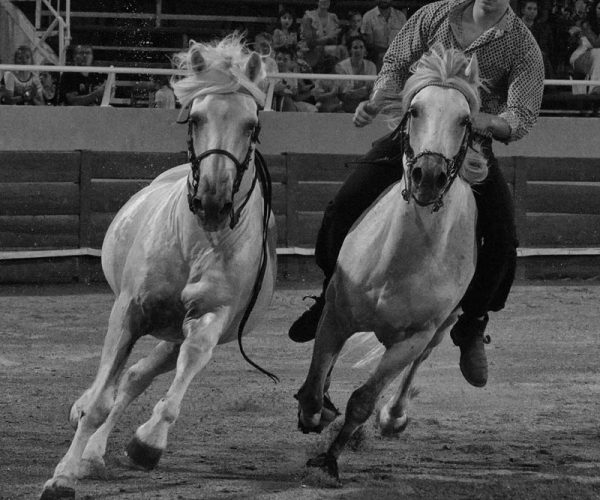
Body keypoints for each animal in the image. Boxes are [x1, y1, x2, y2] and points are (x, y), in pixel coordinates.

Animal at [41, 34, 276, 496]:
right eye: (195, 118)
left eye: (251, 126)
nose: (213, 202)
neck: (196, 241)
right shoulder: (129, 311)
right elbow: (101, 398)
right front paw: (62, 475)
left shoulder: (207, 320)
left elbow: (166, 388)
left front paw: (145, 444)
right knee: (115, 381)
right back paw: (83, 428)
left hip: (173, 335)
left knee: (136, 377)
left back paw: (96, 453)